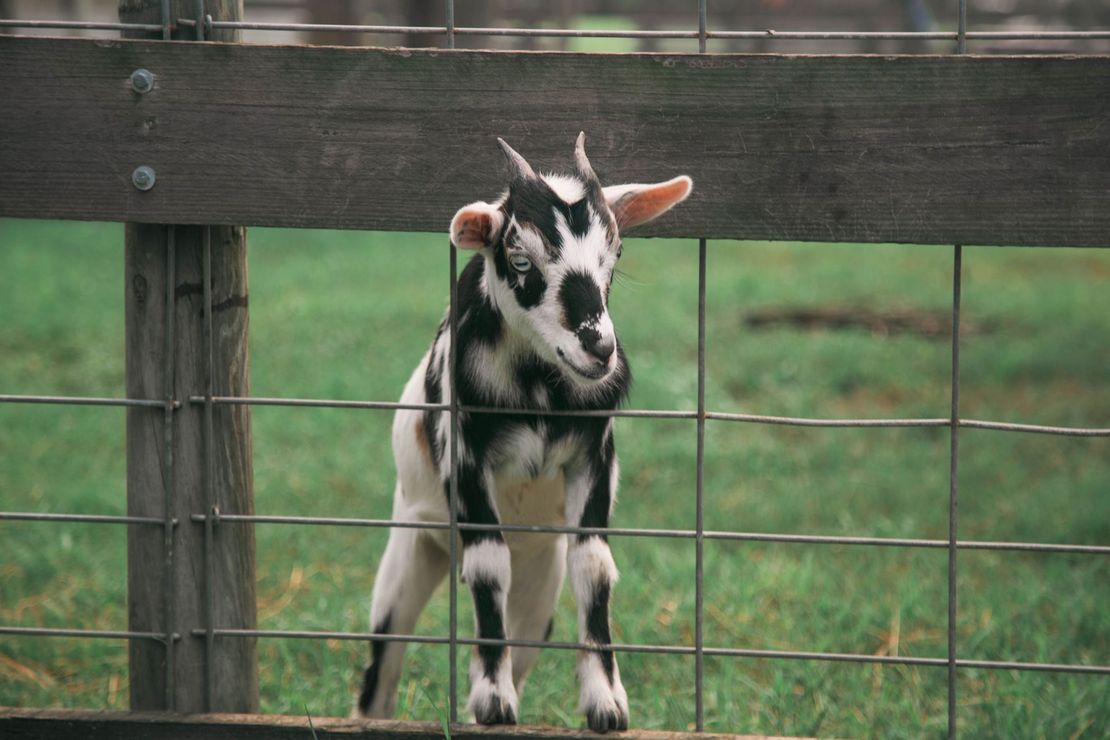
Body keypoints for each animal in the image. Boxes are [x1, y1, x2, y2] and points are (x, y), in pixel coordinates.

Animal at [355, 133, 692, 732]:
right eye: (519, 259)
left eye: (616, 255)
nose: (599, 348)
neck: (539, 394)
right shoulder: (467, 458)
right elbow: (488, 563)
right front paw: (494, 701)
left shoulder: (593, 457)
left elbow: (594, 566)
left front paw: (606, 703)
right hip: (409, 550)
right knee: (383, 665)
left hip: (537, 588)